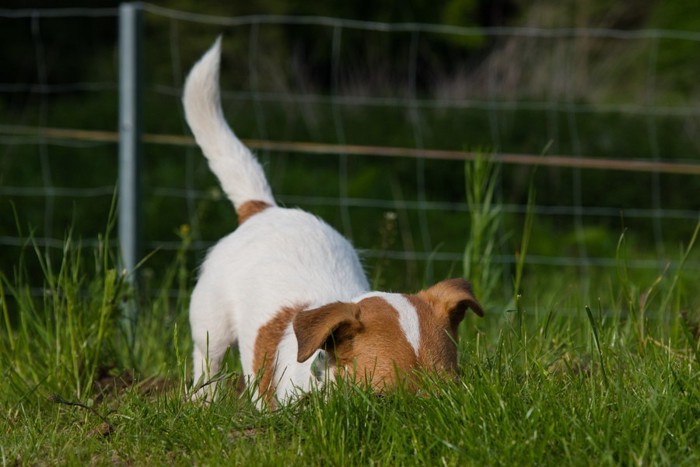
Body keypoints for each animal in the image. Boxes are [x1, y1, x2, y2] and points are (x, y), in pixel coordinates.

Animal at [183, 37, 484, 410]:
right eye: (383, 398)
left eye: (449, 391)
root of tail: (264, 209)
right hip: (211, 326)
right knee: (206, 364)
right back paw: (203, 403)